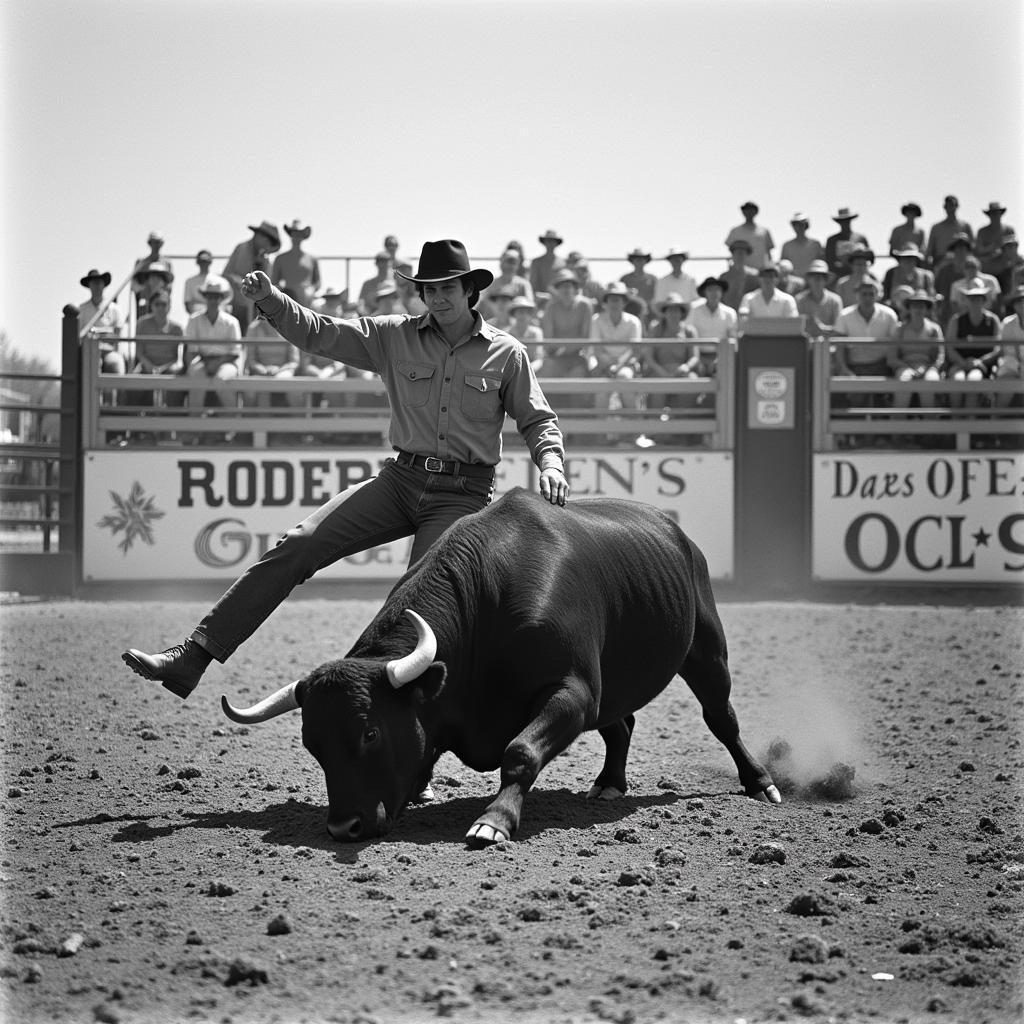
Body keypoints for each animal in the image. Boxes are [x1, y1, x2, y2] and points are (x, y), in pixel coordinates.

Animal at [224, 491, 778, 843]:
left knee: (721, 718)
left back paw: (759, 782)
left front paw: (493, 822)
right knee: (620, 725)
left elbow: (520, 751)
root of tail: (674, 532)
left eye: (370, 733)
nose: (343, 828)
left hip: (706, 649)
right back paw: (609, 783)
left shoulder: (573, 692)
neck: (486, 597)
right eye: (311, 744)